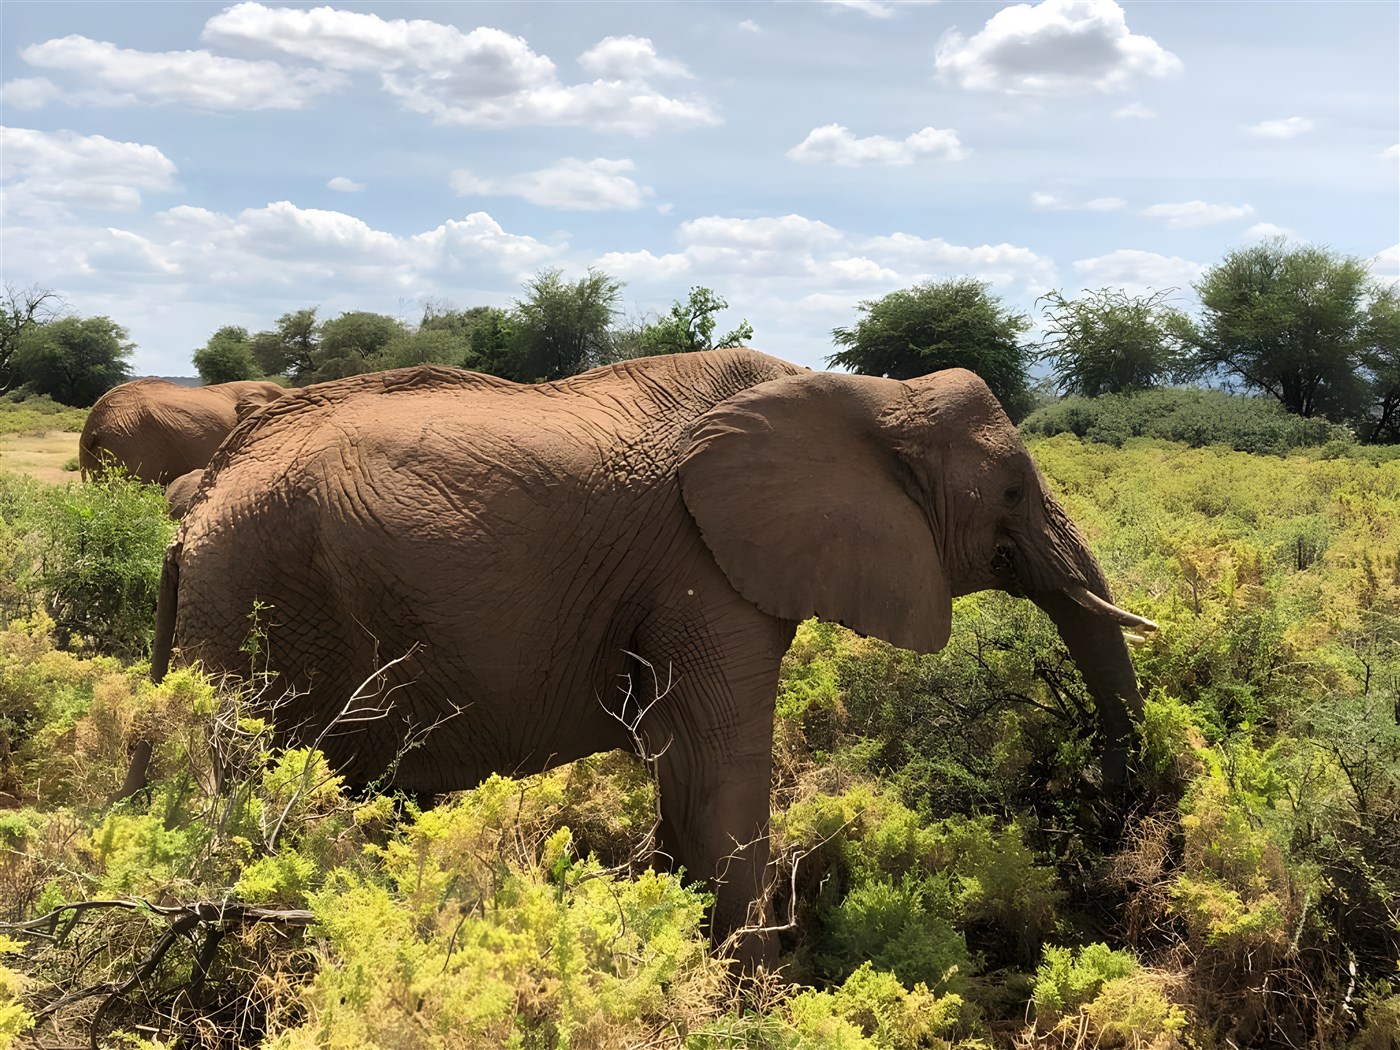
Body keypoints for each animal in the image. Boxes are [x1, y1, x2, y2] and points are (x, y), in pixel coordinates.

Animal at [151, 349, 1154, 963]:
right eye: (1014, 491)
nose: (1108, 806)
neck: (865, 394)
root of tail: (202, 498)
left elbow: (687, 772)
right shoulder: (700, 564)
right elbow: (720, 772)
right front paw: (753, 1000)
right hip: (258, 596)